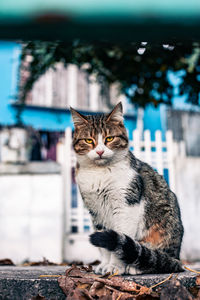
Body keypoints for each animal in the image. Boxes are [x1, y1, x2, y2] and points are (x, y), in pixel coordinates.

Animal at [70, 102, 183, 274]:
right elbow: (105, 246)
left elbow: (119, 242)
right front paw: (104, 265)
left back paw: (137, 266)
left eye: (109, 138)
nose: (100, 151)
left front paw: (115, 267)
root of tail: (177, 257)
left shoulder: (126, 206)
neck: (100, 173)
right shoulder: (96, 212)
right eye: (89, 140)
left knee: (156, 259)